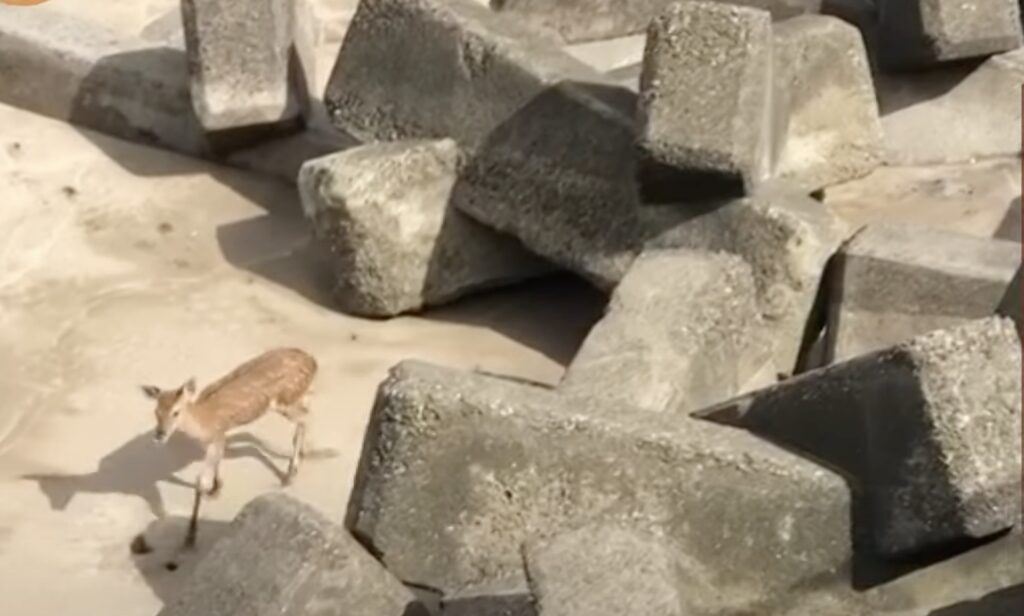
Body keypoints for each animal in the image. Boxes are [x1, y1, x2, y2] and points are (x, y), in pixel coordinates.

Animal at [138, 347, 318, 549]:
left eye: (176, 412)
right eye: (156, 412)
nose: (159, 435)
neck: (203, 424)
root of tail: (313, 361)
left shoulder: (217, 436)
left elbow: (200, 481)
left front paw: (190, 536)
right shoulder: (218, 438)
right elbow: (218, 461)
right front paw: (216, 488)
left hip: (284, 401)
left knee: (302, 421)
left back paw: (289, 475)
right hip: (296, 396)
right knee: (304, 413)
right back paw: (302, 455)